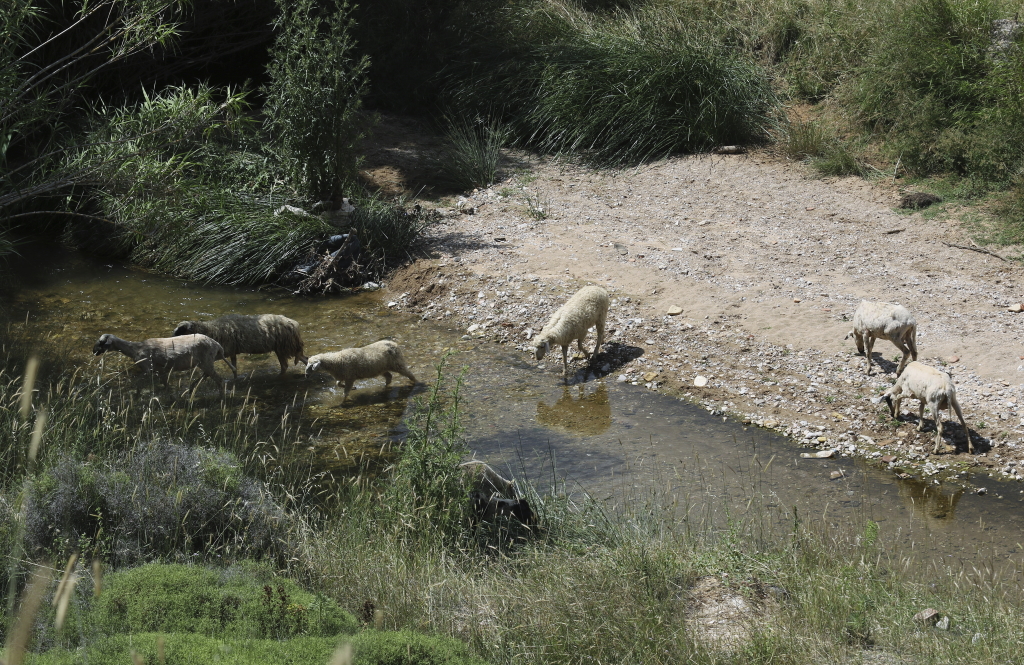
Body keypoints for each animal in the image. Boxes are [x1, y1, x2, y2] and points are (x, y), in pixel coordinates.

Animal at [92, 329, 234, 393]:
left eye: (101, 342)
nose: (93, 351)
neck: (135, 349)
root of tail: (217, 345)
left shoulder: (147, 369)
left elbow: (138, 384)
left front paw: (135, 395)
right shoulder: (161, 371)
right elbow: (166, 386)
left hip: (206, 362)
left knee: (219, 380)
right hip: (205, 363)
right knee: (208, 376)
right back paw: (192, 388)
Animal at [172, 313, 305, 379]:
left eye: (181, 331)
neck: (211, 330)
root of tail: (294, 324)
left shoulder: (223, 352)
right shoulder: (232, 352)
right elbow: (234, 368)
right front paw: (235, 381)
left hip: (285, 347)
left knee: (287, 365)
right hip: (284, 348)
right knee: (298, 360)